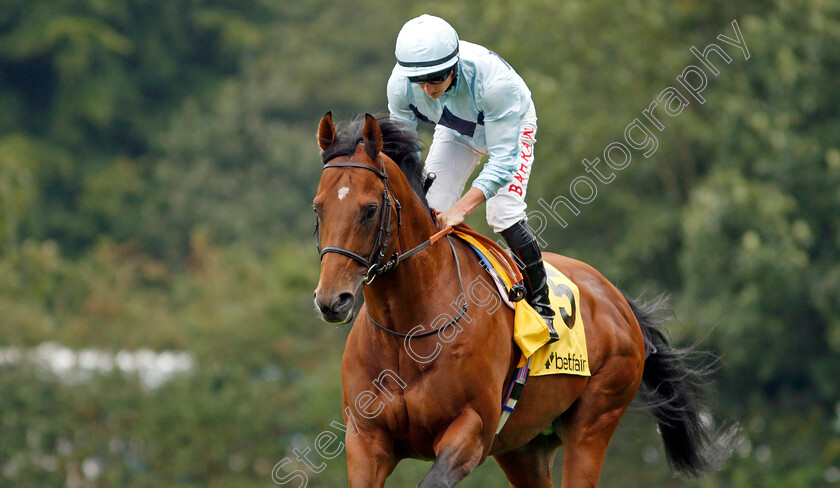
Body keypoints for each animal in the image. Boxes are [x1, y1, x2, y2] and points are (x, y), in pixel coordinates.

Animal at [312, 112, 740, 486]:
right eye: (318, 207)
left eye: (370, 210)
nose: (332, 300)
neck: (409, 331)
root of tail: (617, 299)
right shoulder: (366, 441)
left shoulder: (472, 431)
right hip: (523, 447)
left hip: (594, 421)